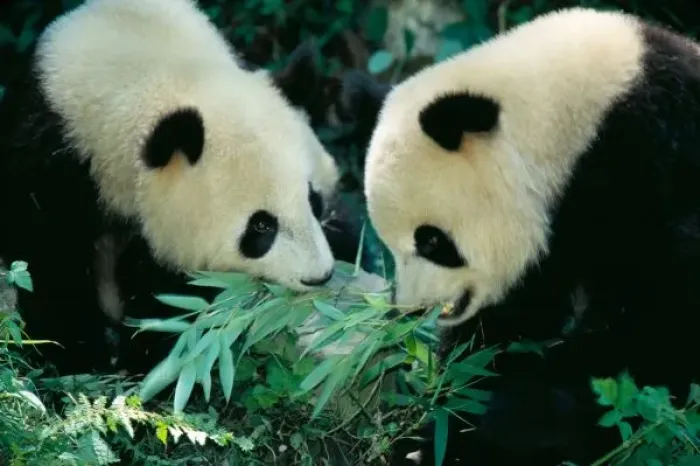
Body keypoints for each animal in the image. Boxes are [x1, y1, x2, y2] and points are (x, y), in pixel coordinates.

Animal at [0, 0, 359, 376]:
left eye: (314, 200)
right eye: (261, 226)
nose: (319, 276)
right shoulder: (51, 163)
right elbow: (50, 261)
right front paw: (82, 353)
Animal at [343, 7, 700, 465]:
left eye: (431, 241)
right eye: (389, 244)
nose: (412, 309)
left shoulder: (654, 171)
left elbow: (652, 330)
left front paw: (491, 431)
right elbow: (511, 319)